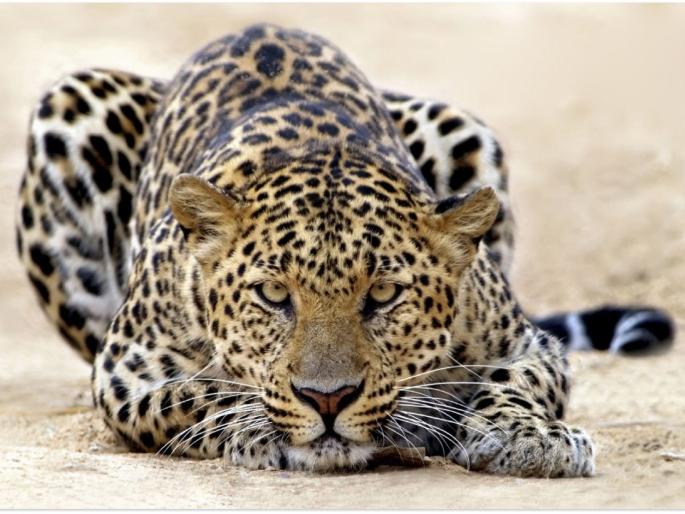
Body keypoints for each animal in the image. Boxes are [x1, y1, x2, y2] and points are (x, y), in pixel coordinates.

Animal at [16, 24, 674, 476]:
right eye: (273, 295)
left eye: (383, 295)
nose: (327, 399)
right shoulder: (126, 369)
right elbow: (202, 393)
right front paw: (260, 427)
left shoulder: (526, 342)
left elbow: (515, 381)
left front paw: (528, 437)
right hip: (69, 105)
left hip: (460, 125)